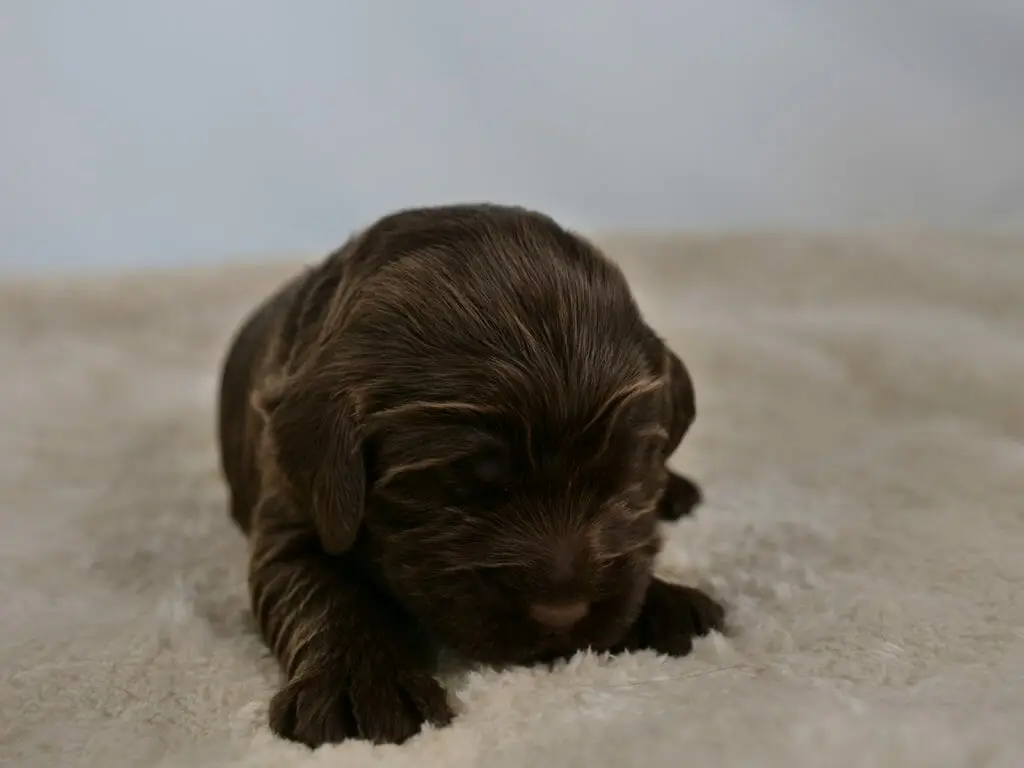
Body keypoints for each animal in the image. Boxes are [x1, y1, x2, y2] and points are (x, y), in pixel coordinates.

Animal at [216, 204, 724, 753]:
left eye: (625, 474)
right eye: (455, 485)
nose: (562, 615)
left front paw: (667, 601)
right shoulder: (297, 511)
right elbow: (326, 592)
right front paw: (359, 686)